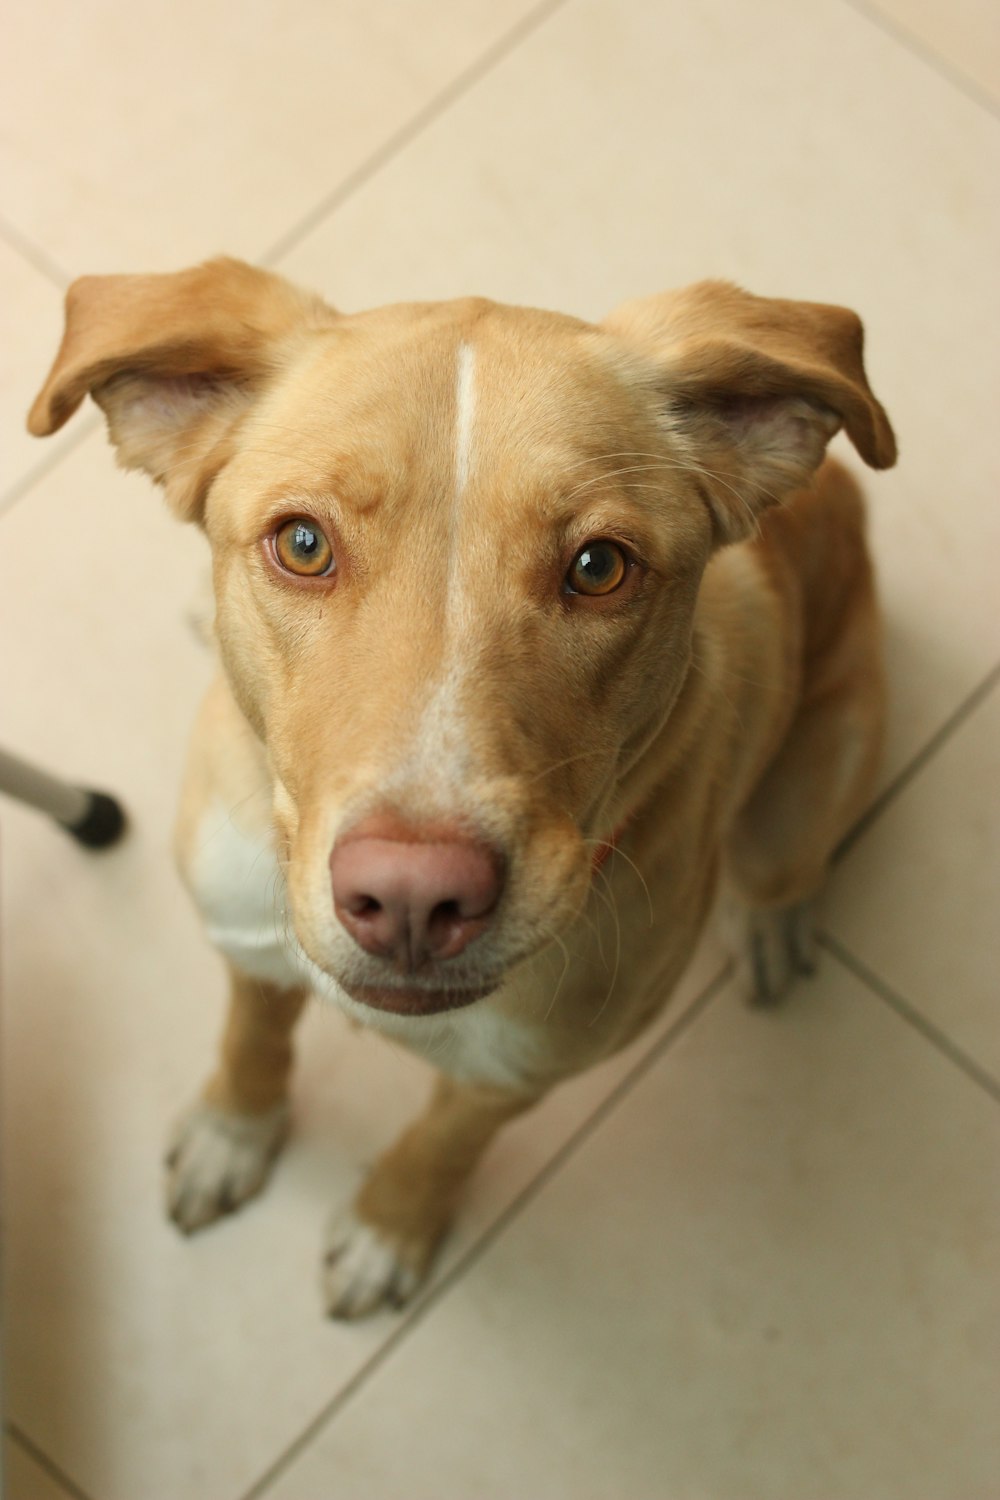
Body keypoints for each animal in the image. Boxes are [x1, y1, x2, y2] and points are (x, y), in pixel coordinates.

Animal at [27, 264, 893, 1320]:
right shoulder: (247, 943)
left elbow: (440, 1147)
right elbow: (251, 1039)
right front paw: (235, 1131)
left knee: (782, 867)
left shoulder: (513, 1076)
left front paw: (387, 1228)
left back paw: (771, 923)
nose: (412, 897)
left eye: (599, 566)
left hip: (813, 773)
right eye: (302, 544)